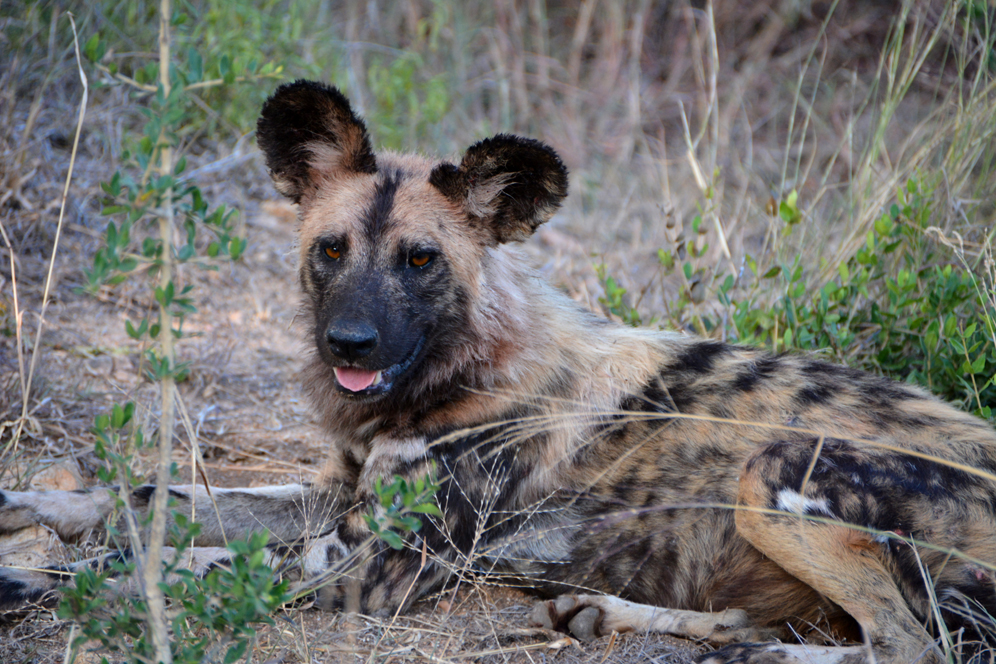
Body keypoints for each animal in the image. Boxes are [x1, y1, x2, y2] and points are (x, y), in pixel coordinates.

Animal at [2, 80, 995, 664]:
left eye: (420, 261)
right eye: (331, 250)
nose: (348, 345)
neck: (454, 375)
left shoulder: (374, 564)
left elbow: (182, 565)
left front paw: (52, 582)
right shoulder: (332, 497)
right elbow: (149, 500)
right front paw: (40, 511)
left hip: (775, 474)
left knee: (909, 646)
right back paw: (614, 618)